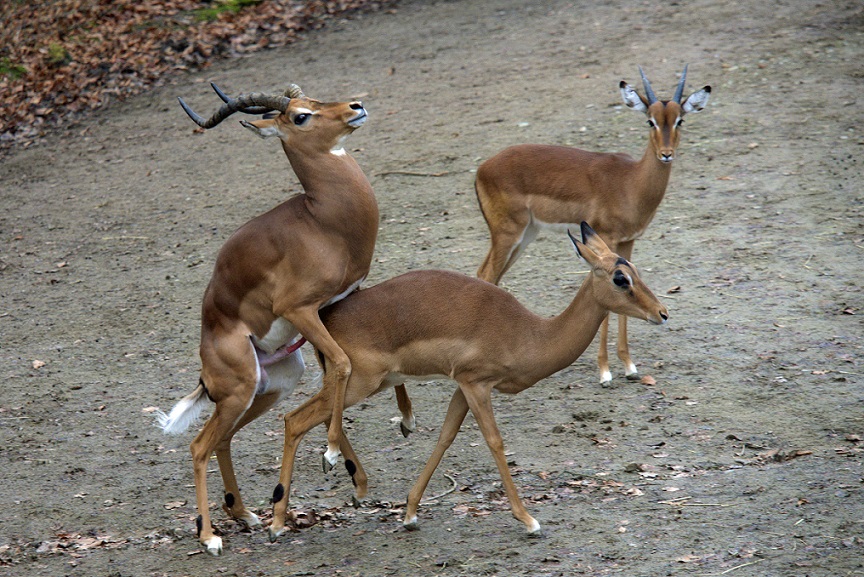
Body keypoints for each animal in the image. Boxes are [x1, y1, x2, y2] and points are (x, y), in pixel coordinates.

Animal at [268, 222, 668, 540]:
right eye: (621, 278)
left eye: (634, 269)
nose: (662, 313)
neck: (529, 334)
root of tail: (328, 316)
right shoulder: (477, 384)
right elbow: (495, 442)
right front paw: (529, 520)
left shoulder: (462, 387)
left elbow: (445, 437)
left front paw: (410, 513)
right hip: (360, 383)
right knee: (294, 419)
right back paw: (277, 522)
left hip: (361, 384)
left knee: (314, 419)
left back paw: (353, 487)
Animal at [472, 65, 708, 384]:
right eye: (650, 121)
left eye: (679, 119)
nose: (666, 154)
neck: (631, 182)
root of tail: (482, 168)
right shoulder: (606, 237)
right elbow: (607, 308)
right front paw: (605, 371)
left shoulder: (627, 242)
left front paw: (629, 366)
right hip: (508, 234)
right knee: (485, 274)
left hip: (525, 236)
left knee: (491, 276)